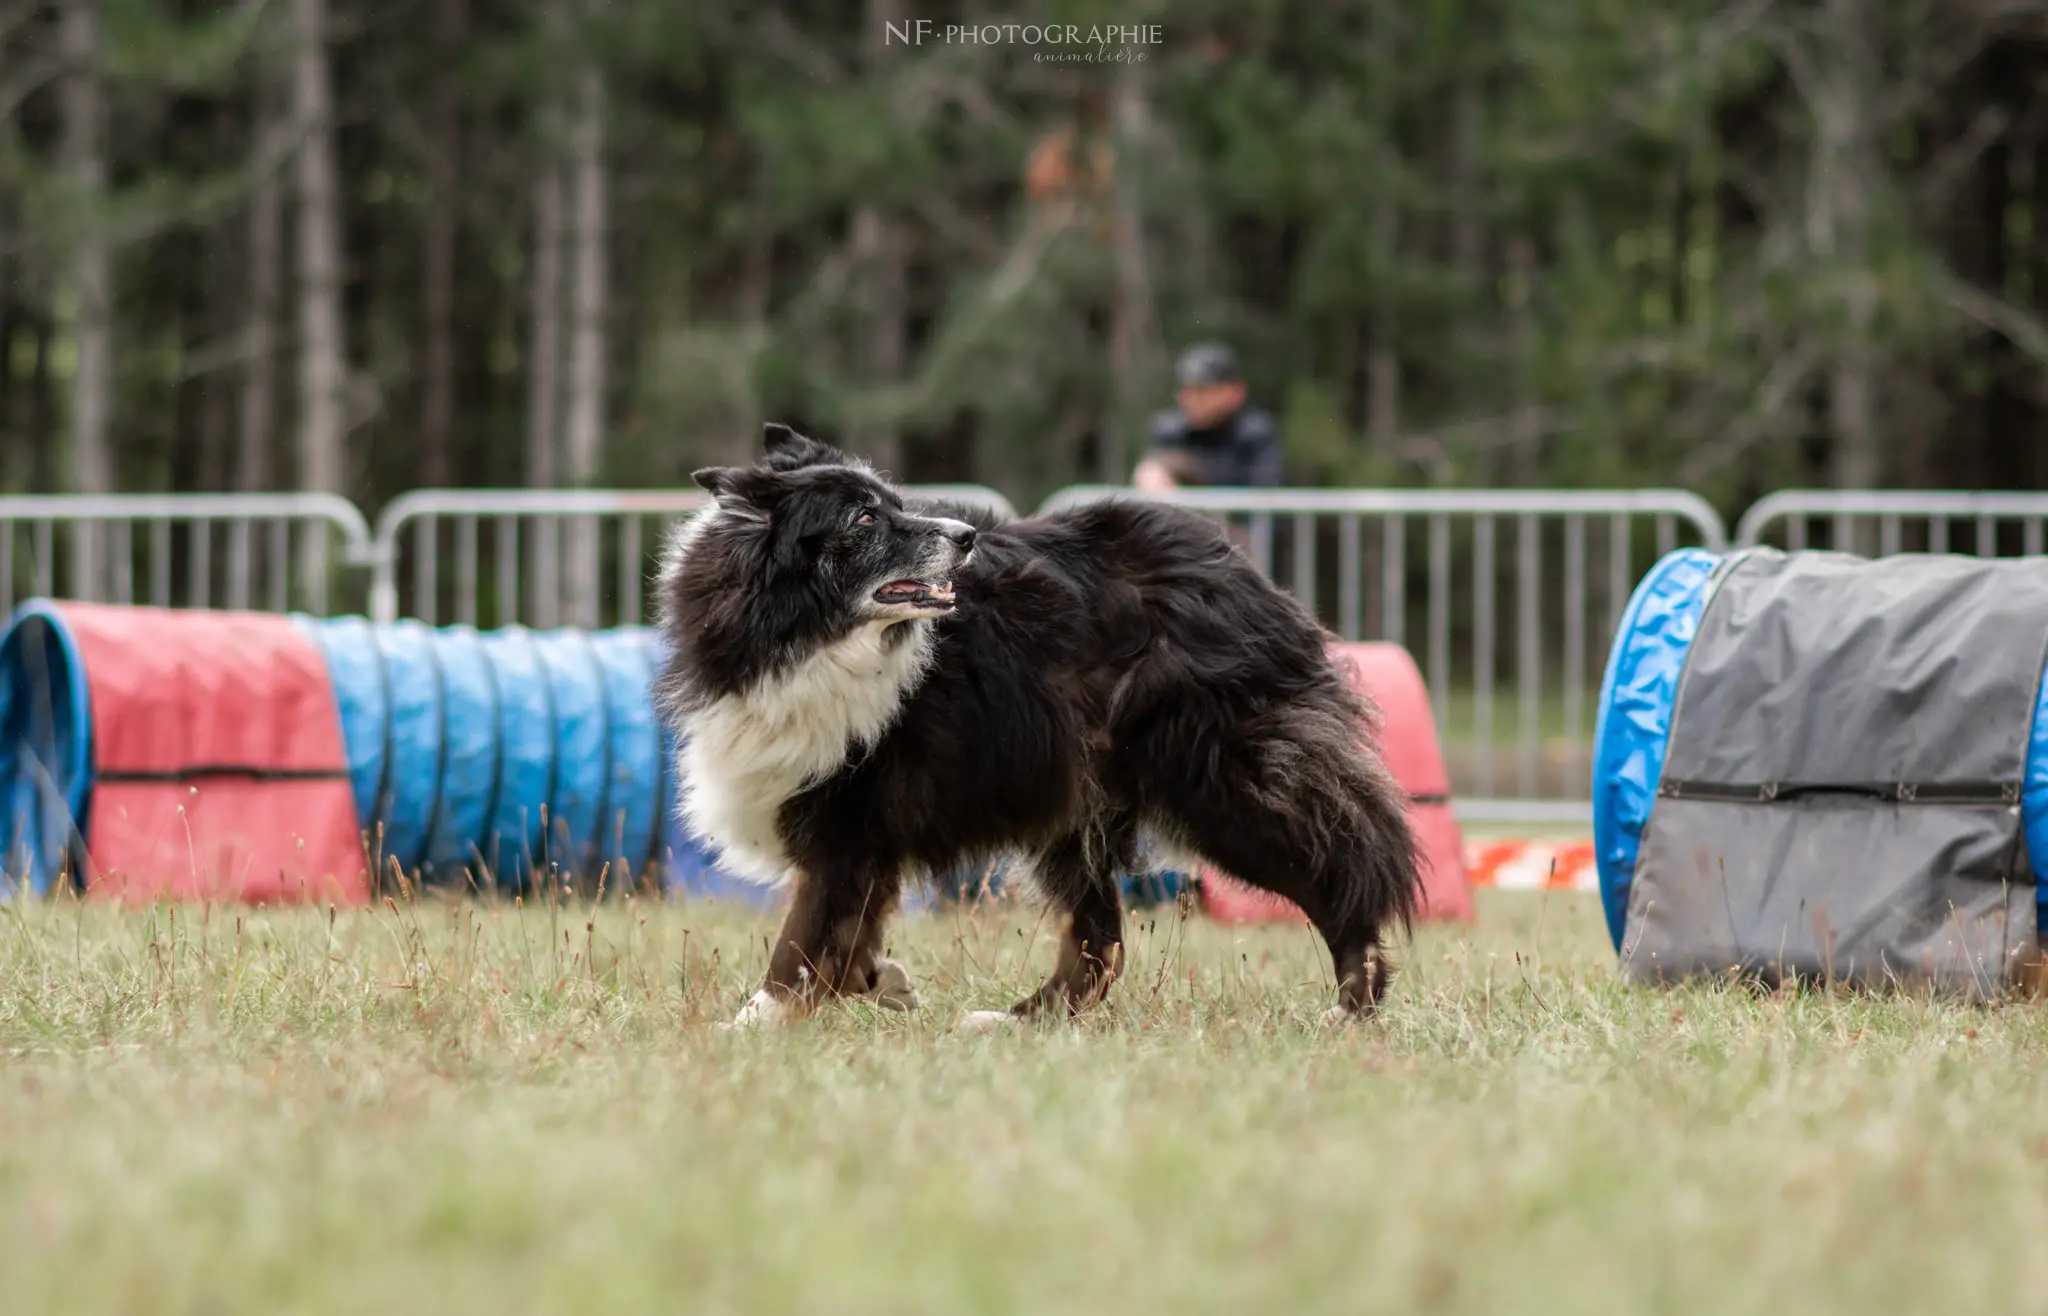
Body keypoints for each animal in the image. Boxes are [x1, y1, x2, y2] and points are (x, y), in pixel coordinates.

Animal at [655, 425, 1425, 1031]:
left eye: (895, 504)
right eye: (864, 520)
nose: (965, 537)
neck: (803, 633)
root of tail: (1238, 568)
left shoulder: (848, 821)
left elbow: (805, 937)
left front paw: (751, 1024)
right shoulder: (863, 835)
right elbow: (847, 938)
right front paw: (881, 983)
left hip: (1217, 784)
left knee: (1340, 868)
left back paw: (1351, 1005)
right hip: (1073, 802)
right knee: (1100, 940)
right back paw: (1020, 1020)